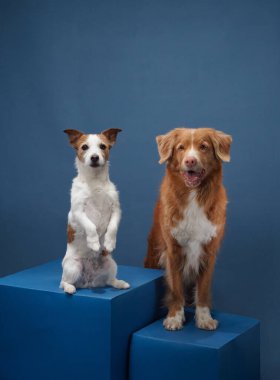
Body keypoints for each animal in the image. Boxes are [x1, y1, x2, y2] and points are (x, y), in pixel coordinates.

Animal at [60, 127, 130, 294]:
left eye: (103, 146)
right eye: (84, 147)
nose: (94, 157)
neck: (95, 181)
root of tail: (88, 283)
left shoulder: (116, 210)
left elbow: (112, 227)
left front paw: (109, 242)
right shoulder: (79, 212)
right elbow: (90, 225)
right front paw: (93, 243)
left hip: (110, 263)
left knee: (110, 280)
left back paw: (120, 283)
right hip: (72, 267)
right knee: (63, 282)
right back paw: (69, 288)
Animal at [144, 127, 232, 330]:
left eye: (203, 147)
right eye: (181, 148)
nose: (190, 161)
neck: (193, 197)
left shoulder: (209, 251)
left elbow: (203, 289)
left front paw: (204, 318)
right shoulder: (173, 250)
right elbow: (176, 288)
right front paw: (175, 317)